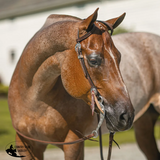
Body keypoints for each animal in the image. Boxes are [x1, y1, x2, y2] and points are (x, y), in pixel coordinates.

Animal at [7, 8, 146, 159]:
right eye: (93, 60)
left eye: (119, 57)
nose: (126, 116)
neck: (35, 101)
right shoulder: (25, 144)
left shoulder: (73, 144)